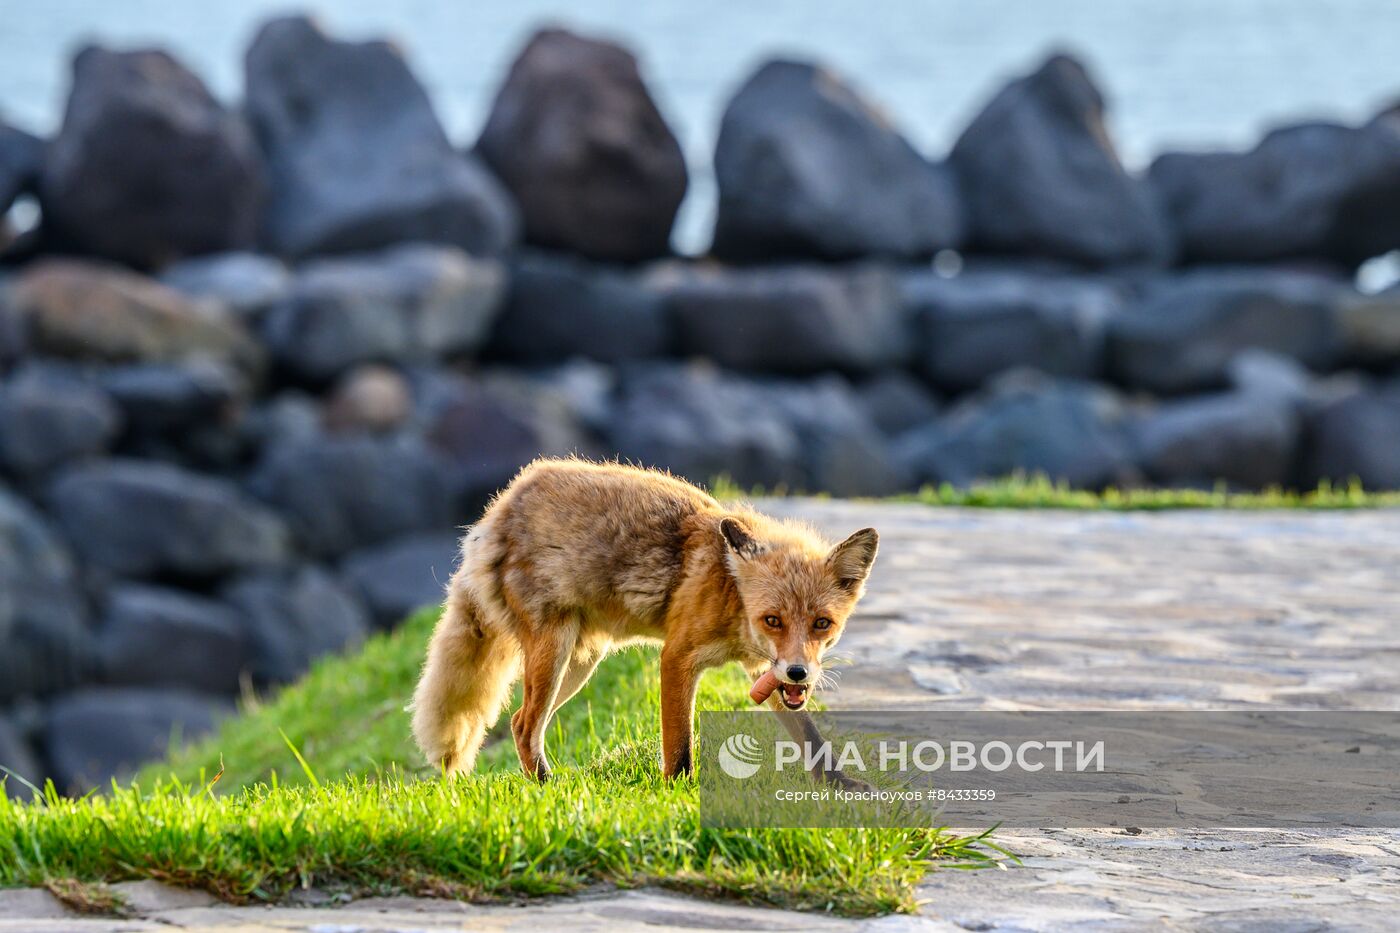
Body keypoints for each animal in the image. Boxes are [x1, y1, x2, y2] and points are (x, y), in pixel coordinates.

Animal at [408, 453, 879, 773]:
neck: (729, 591)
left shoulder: (766, 670)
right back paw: (549, 786)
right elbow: (680, 748)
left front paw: (843, 788)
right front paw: (678, 794)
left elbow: (811, 738)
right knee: (524, 726)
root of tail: (499, 509)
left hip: (579, 662)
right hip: (554, 653)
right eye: (773, 620)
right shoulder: (677, 657)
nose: (800, 673)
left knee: (522, 724)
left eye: (822, 624)